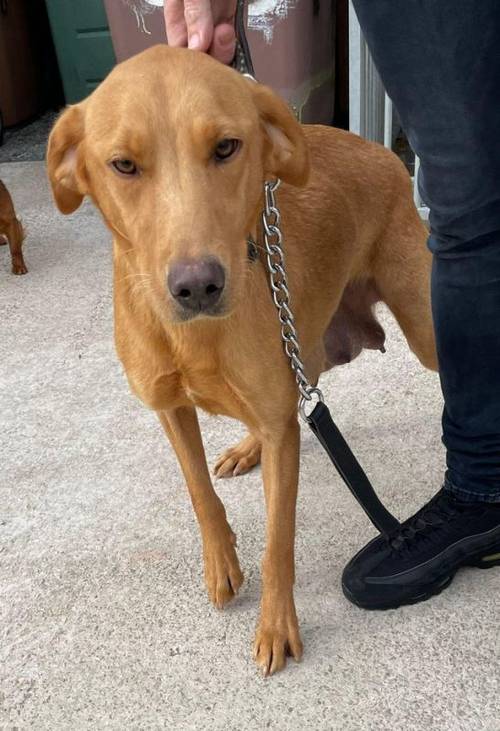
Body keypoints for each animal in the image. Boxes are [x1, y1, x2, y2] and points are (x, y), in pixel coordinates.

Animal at [47, 44, 438, 676]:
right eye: (123, 165)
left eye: (227, 148)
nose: (197, 286)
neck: (196, 338)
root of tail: (381, 150)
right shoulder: (170, 409)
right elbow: (200, 493)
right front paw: (221, 564)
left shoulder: (280, 430)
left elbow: (279, 542)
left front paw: (277, 624)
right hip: (302, 338)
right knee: (302, 389)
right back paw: (249, 445)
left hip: (421, 329)